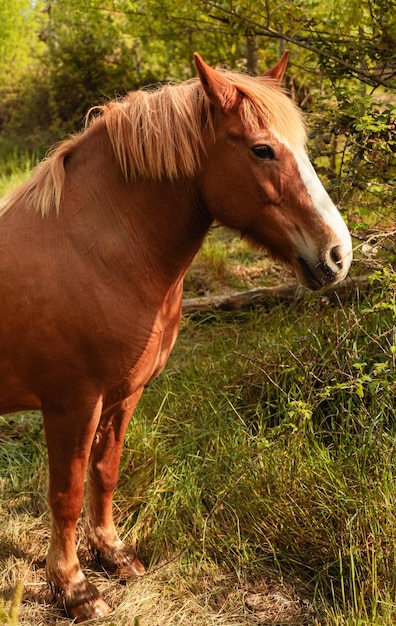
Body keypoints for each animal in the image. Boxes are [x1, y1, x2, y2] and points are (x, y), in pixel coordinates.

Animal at [0, 53, 352, 620]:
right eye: (262, 149)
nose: (338, 255)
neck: (91, 252)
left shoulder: (123, 395)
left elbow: (105, 472)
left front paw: (113, 554)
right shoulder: (72, 404)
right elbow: (67, 494)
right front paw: (74, 588)